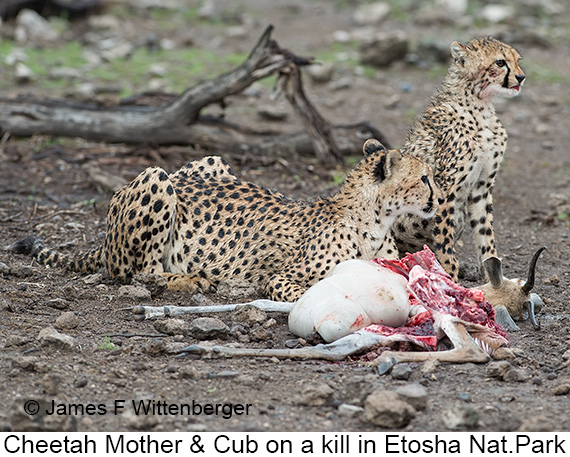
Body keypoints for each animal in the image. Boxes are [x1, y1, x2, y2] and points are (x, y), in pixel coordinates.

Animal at [12, 141, 440, 302]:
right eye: (424, 178)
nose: (438, 197)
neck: (374, 220)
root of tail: (103, 241)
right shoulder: (281, 278)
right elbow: (302, 291)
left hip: (213, 162)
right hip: (157, 178)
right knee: (143, 272)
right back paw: (198, 280)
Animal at [382, 36, 524, 278]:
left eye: (517, 61)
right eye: (500, 62)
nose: (522, 77)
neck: (481, 106)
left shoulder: (482, 187)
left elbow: (486, 235)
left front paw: (493, 276)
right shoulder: (445, 190)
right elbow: (445, 246)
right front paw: (450, 278)